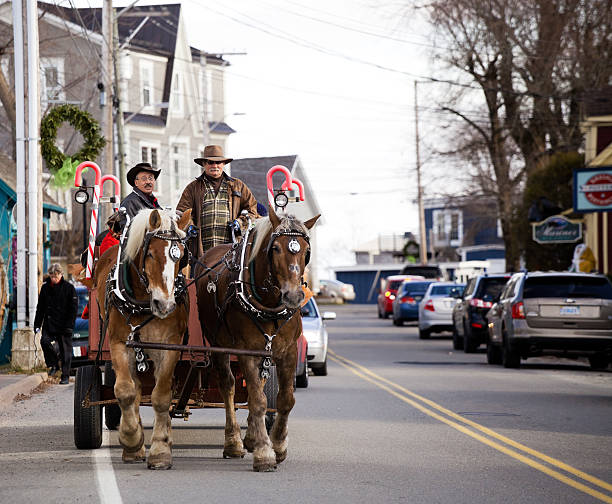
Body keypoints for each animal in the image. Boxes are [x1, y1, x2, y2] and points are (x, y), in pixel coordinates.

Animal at [195, 206, 320, 472]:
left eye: (306, 250)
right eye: (276, 248)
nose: (294, 296)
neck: (270, 304)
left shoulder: (288, 351)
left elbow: (284, 399)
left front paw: (278, 446)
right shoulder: (247, 351)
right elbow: (258, 401)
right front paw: (264, 453)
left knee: (257, 387)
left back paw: (250, 437)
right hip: (218, 344)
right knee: (229, 386)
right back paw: (233, 442)